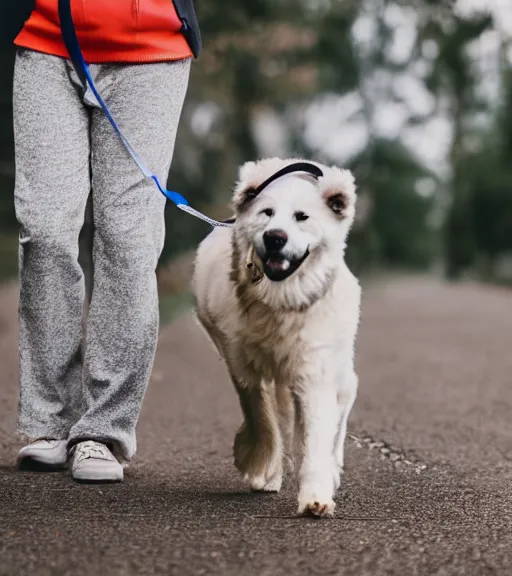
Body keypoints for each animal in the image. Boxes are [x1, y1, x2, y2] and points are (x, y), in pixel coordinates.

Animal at [192, 158, 360, 516]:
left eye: (302, 216)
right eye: (266, 213)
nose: (275, 238)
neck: (279, 299)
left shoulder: (313, 365)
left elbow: (316, 430)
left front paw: (316, 496)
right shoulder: (242, 364)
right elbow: (262, 416)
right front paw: (264, 469)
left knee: (345, 396)